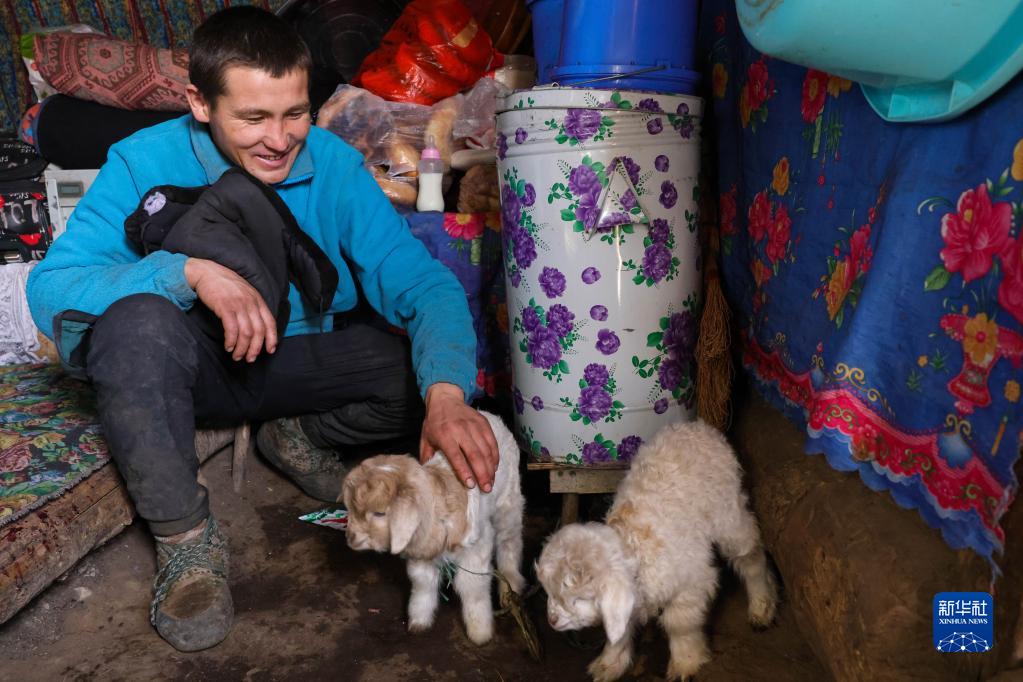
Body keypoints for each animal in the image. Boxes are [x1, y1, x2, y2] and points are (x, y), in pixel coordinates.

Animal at [342, 410, 526, 645]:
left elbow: (472, 588)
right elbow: (422, 584)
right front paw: (419, 622)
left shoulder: (476, 551)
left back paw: (511, 582)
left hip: (508, 501)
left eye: (380, 513)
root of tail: (489, 415)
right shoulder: (421, 554)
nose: (350, 538)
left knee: (509, 540)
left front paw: (480, 632)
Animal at [537, 419, 779, 681]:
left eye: (580, 598)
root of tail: (697, 426)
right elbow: (619, 631)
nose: (551, 621)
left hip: (728, 516)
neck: (633, 544)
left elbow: (680, 625)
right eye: (549, 592)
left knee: (751, 555)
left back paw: (762, 605)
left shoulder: (691, 584)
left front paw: (686, 662)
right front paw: (609, 663)